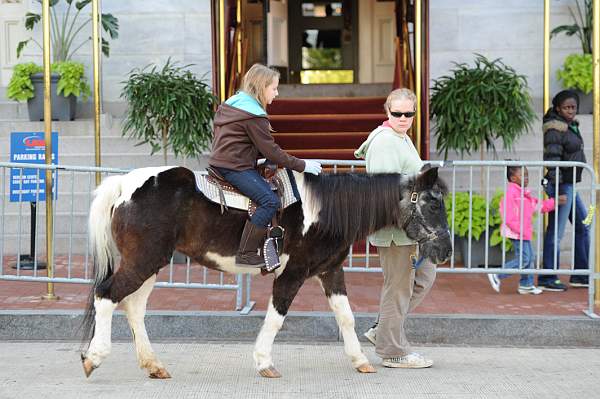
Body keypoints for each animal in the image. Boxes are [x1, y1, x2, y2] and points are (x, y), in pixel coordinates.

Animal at [82, 166, 452, 378]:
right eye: (434, 203)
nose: (446, 251)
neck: (325, 210)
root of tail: (124, 185)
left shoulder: (331, 271)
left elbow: (346, 317)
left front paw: (360, 359)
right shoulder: (292, 274)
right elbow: (276, 319)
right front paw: (264, 362)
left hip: (151, 264)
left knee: (133, 307)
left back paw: (153, 365)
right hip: (144, 261)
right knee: (106, 295)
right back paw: (95, 356)